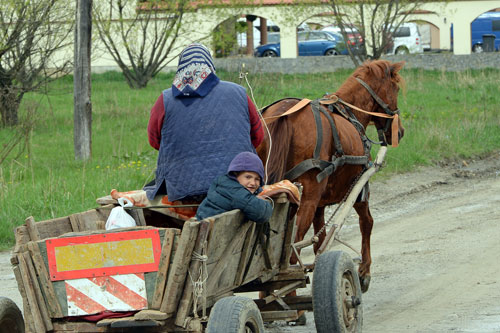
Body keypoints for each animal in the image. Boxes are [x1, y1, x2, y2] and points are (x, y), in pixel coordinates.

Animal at [256, 59, 404, 290]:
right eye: (395, 88)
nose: (400, 132)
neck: (349, 113)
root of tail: (284, 111)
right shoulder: (359, 188)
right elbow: (367, 222)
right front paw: (364, 272)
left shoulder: (319, 205)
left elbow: (319, 240)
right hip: (308, 196)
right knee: (293, 248)